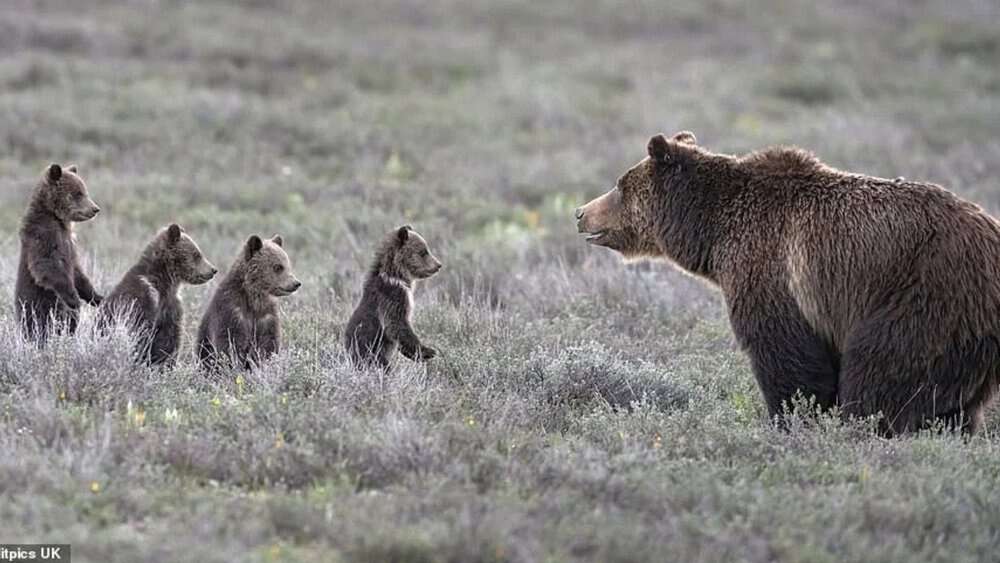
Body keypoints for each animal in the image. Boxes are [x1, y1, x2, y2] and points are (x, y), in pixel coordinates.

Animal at [15, 163, 103, 340]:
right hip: (36, 304)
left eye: (84, 190)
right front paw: (74, 299)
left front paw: (96, 297)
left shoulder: (70, 243)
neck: (57, 218)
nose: (95, 209)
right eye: (77, 193)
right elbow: (48, 265)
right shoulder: (43, 235)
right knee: (38, 323)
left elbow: (77, 272)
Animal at [98, 224, 217, 366]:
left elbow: (169, 340)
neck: (165, 283)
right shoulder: (143, 298)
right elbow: (141, 333)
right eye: (197, 254)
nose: (213, 270)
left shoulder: (171, 307)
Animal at [196, 234, 301, 371]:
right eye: (278, 267)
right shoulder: (231, 312)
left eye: (288, 264)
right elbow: (230, 344)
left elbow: (269, 343)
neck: (253, 300)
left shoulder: (267, 316)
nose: (296, 283)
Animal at [344, 225, 442, 370]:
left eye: (426, 249)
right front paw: (427, 352)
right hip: (369, 352)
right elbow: (397, 324)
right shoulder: (393, 296)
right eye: (423, 252)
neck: (398, 276)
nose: (438, 265)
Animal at [576, 131, 1000, 435]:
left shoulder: (771, 268)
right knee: (950, 404)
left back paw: (863, 427)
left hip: (926, 294)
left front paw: (791, 419)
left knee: (882, 371)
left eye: (620, 185)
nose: (581, 212)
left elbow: (787, 356)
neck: (712, 231)